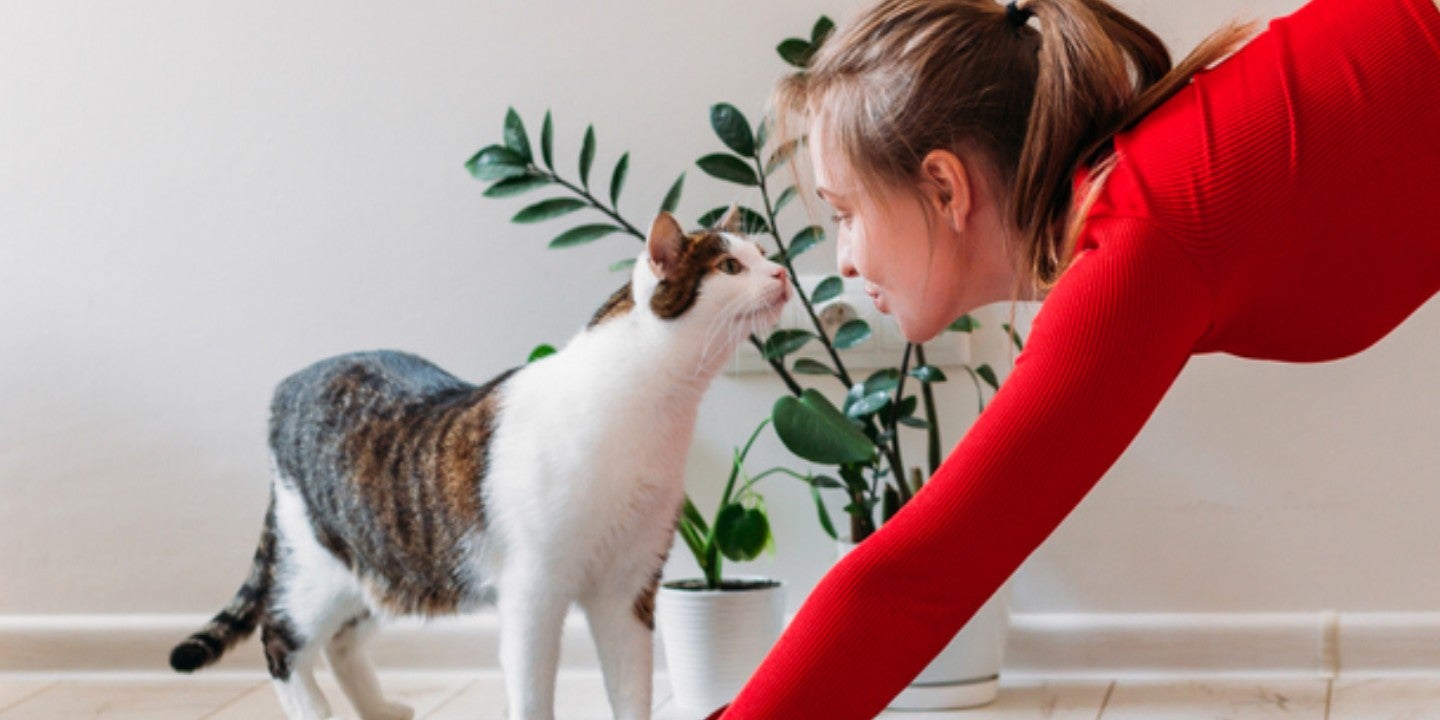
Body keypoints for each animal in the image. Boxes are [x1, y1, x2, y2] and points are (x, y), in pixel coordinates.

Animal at [172, 210, 794, 720]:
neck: (654, 408)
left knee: (343, 641)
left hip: (388, 561)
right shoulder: (534, 588)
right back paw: (316, 712)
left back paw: (379, 710)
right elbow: (532, 695)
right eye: (731, 265)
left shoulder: (627, 585)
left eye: (763, 251)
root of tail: (287, 386)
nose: (783, 273)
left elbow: (631, 692)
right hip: (317, 566)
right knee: (282, 640)